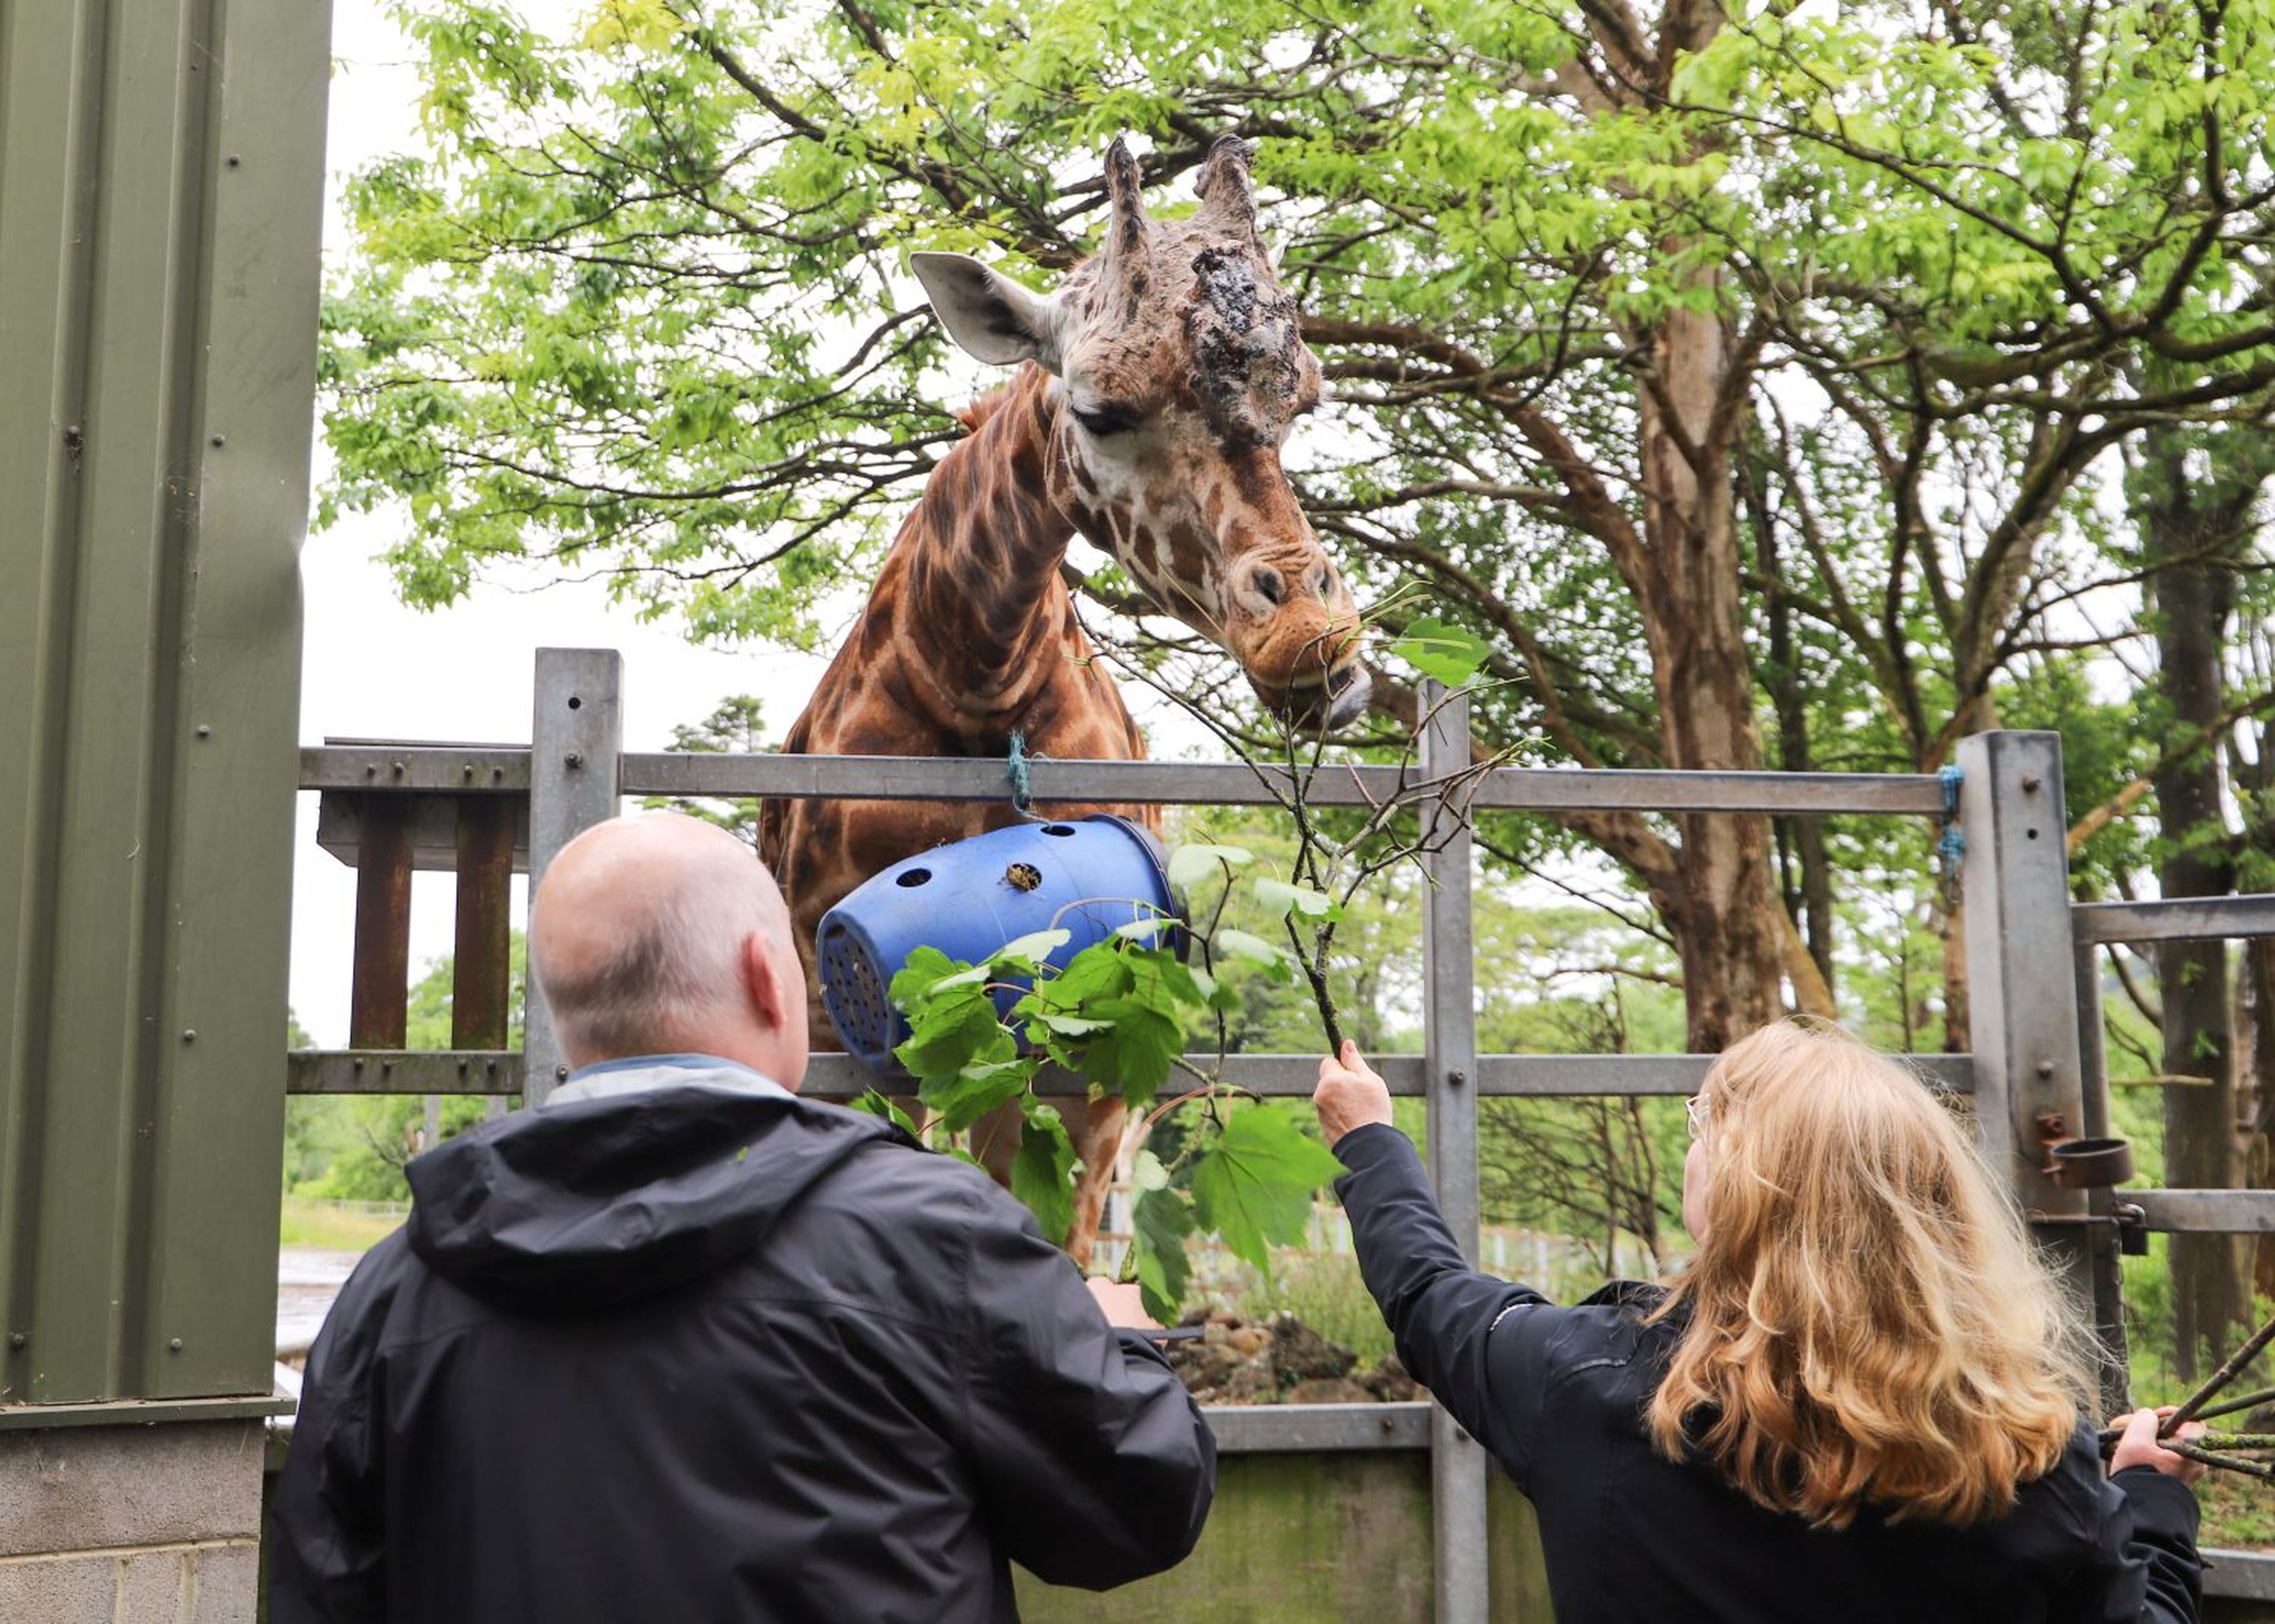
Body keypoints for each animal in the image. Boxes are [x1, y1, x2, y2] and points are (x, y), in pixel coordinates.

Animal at [760, 135, 1367, 1268]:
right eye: (1099, 410)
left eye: (1301, 399)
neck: (973, 677)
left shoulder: (1105, 1053)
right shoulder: (839, 1026)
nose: (1315, 647)